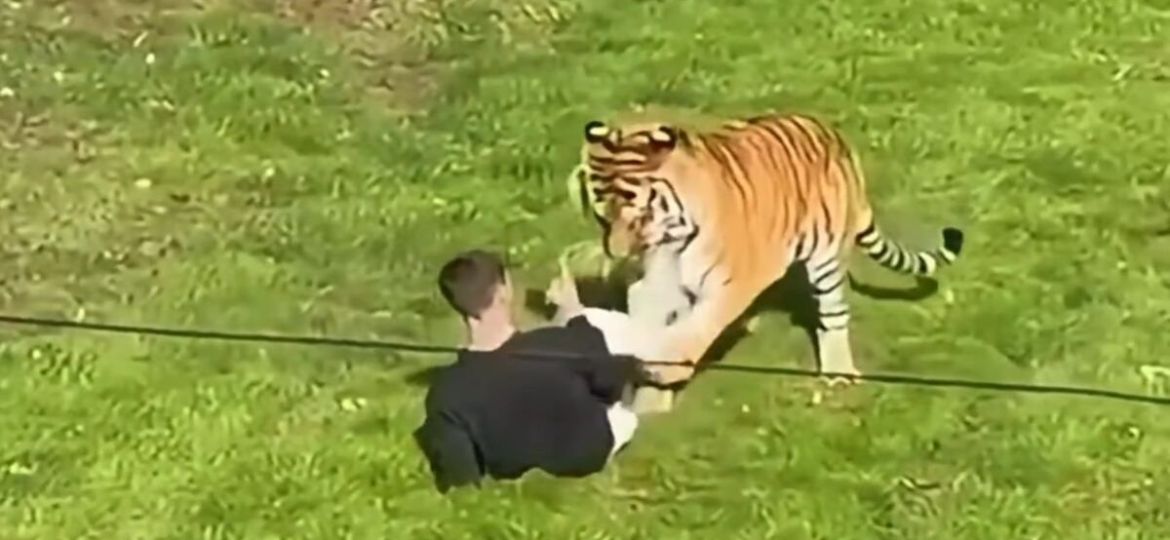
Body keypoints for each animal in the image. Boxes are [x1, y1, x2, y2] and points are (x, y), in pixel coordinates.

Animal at [571, 112, 965, 388]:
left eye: (638, 215)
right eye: (601, 216)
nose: (618, 254)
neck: (674, 237)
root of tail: (835, 138)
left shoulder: (735, 282)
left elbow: (700, 325)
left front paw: (667, 366)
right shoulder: (655, 282)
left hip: (825, 260)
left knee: (834, 316)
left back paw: (838, 372)